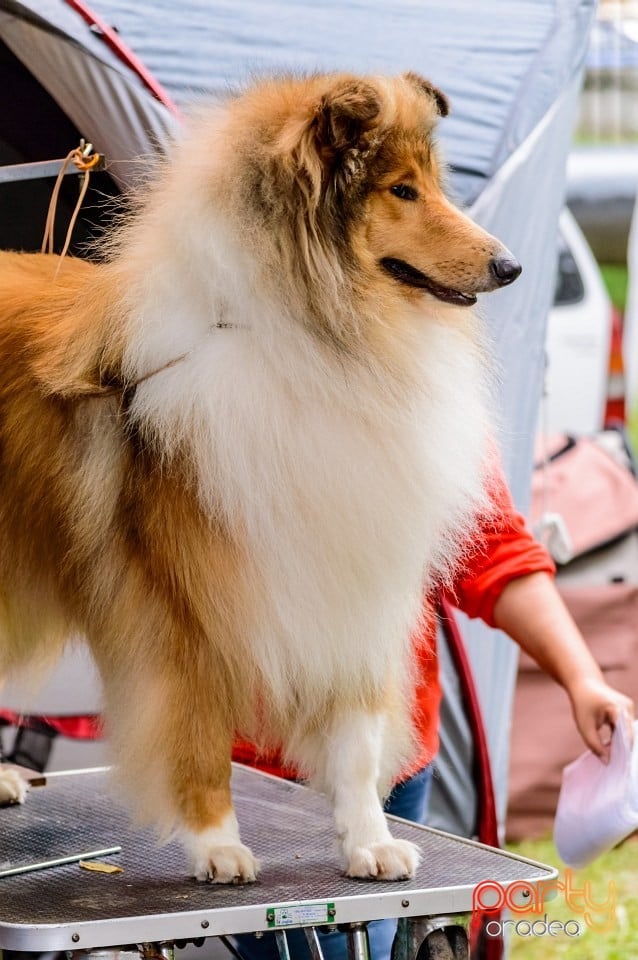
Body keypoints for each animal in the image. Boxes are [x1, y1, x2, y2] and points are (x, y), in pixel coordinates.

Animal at [0, 73, 520, 884]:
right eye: (401, 190)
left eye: (433, 185)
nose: (509, 266)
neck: (320, 342)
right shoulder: (182, 602)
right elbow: (199, 728)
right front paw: (216, 844)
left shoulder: (354, 580)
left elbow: (357, 741)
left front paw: (370, 843)